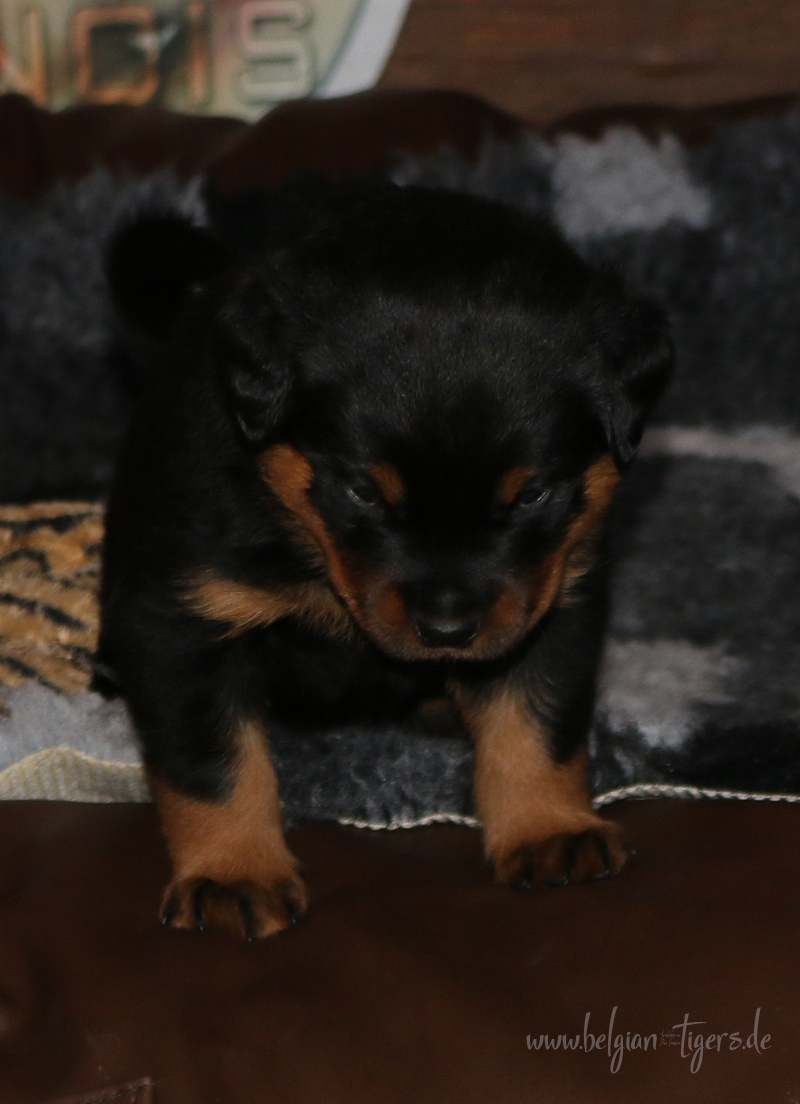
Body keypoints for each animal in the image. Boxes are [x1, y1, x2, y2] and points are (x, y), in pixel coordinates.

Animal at [99, 184, 672, 940]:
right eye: (362, 491)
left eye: (534, 495)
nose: (448, 630)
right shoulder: (182, 621)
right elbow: (214, 764)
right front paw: (232, 873)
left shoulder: (553, 600)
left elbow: (537, 721)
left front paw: (549, 828)